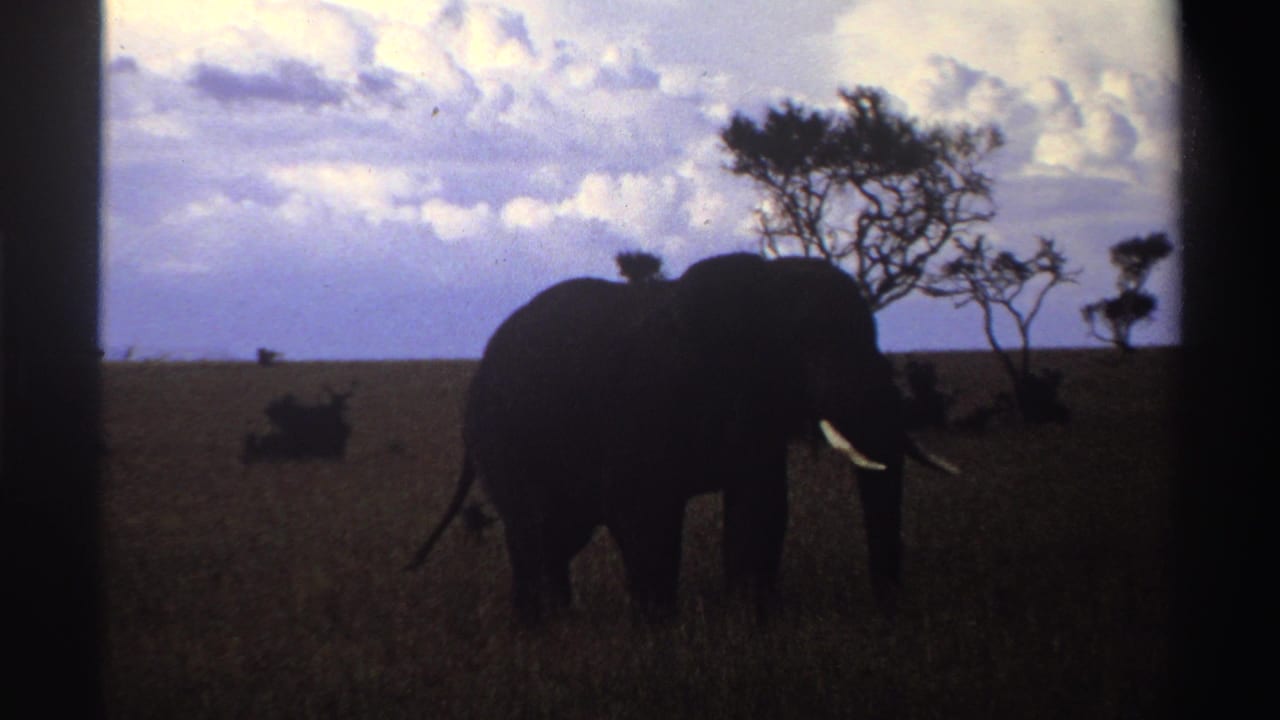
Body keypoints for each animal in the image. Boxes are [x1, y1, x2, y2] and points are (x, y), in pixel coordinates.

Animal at [406, 252, 957, 624]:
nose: (891, 607)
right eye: (808, 344)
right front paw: (658, 632)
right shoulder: (644, 397)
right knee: (536, 528)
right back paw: (545, 629)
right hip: (502, 437)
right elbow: (645, 512)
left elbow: (761, 505)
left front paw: (752, 620)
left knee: (557, 534)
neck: (764, 280)